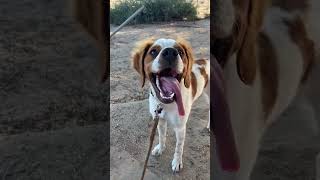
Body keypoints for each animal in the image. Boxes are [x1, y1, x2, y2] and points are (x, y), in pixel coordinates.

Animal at [132, 37, 210, 172]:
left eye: (180, 51)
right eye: (153, 51)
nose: (170, 52)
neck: (166, 104)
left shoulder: (180, 128)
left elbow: (179, 148)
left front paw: (177, 162)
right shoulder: (160, 120)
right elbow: (162, 136)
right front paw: (160, 148)